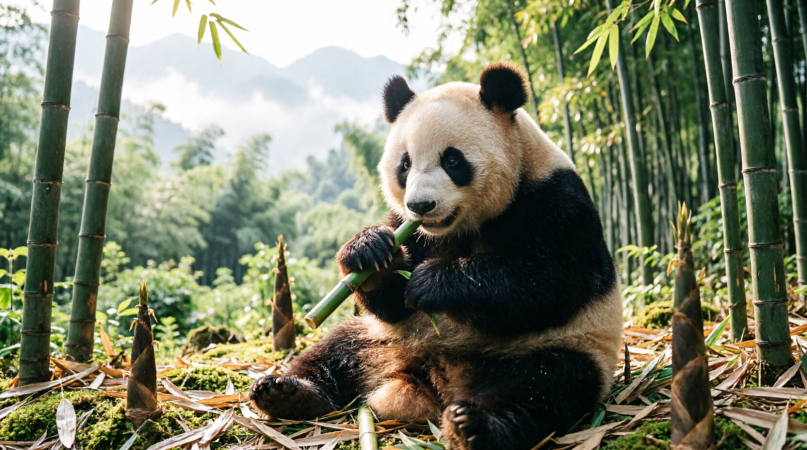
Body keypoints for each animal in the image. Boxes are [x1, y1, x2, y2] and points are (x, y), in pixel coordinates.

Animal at [250, 62, 623, 450]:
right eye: (405, 164)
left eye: (453, 160)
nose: (421, 205)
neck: (461, 226)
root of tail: (429, 377)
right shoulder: (408, 227)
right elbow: (391, 304)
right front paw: (369, 252)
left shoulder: (555, 199)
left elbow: (549, 282)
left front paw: (432, 282)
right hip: (382, 339)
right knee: (335, 350)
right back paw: (287, 392)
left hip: (557, 348)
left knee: (543, 386)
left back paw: (473, 427)